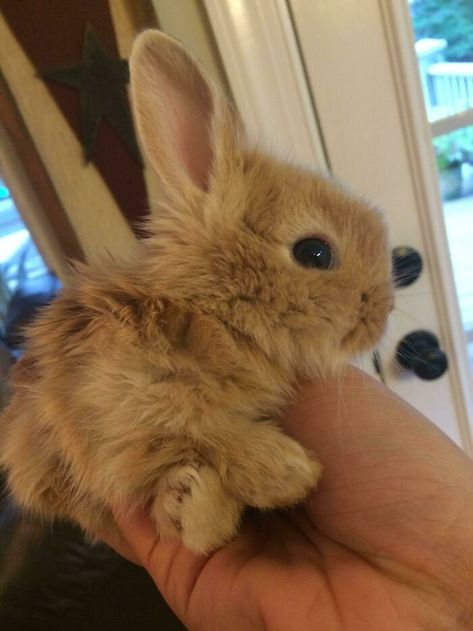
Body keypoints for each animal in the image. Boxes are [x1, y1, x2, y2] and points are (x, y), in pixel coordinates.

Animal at [0, 30, 390, 552]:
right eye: (315, 252)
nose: (381, 314)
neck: (208, 310)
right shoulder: (117, 407)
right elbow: (209, 434)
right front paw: (286, 475)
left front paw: (201, 504)